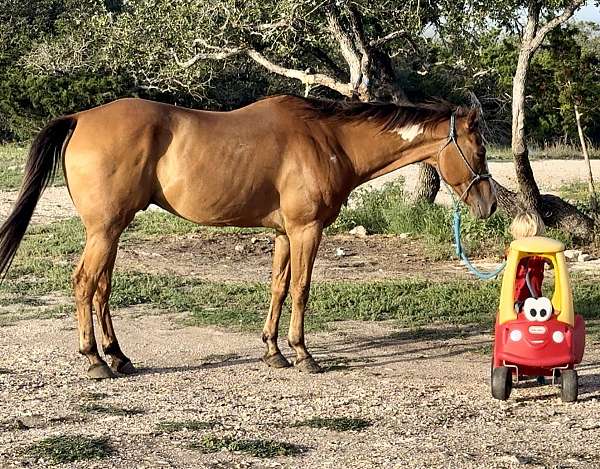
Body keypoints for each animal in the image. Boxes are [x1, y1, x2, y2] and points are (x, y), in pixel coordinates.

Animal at [0, 94, 496, 376]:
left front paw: (273, 351)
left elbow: (278, 287)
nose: (489, 205)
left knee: (102, 287)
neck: (328, 140)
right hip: (104, 230)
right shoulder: (306, 230)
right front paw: (303, 354)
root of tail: (80, 117)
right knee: (85, 284)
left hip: (112, 231)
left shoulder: (283, 234)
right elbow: (301, 289)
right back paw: (95, 360)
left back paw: (118, 356)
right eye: (479, 149)